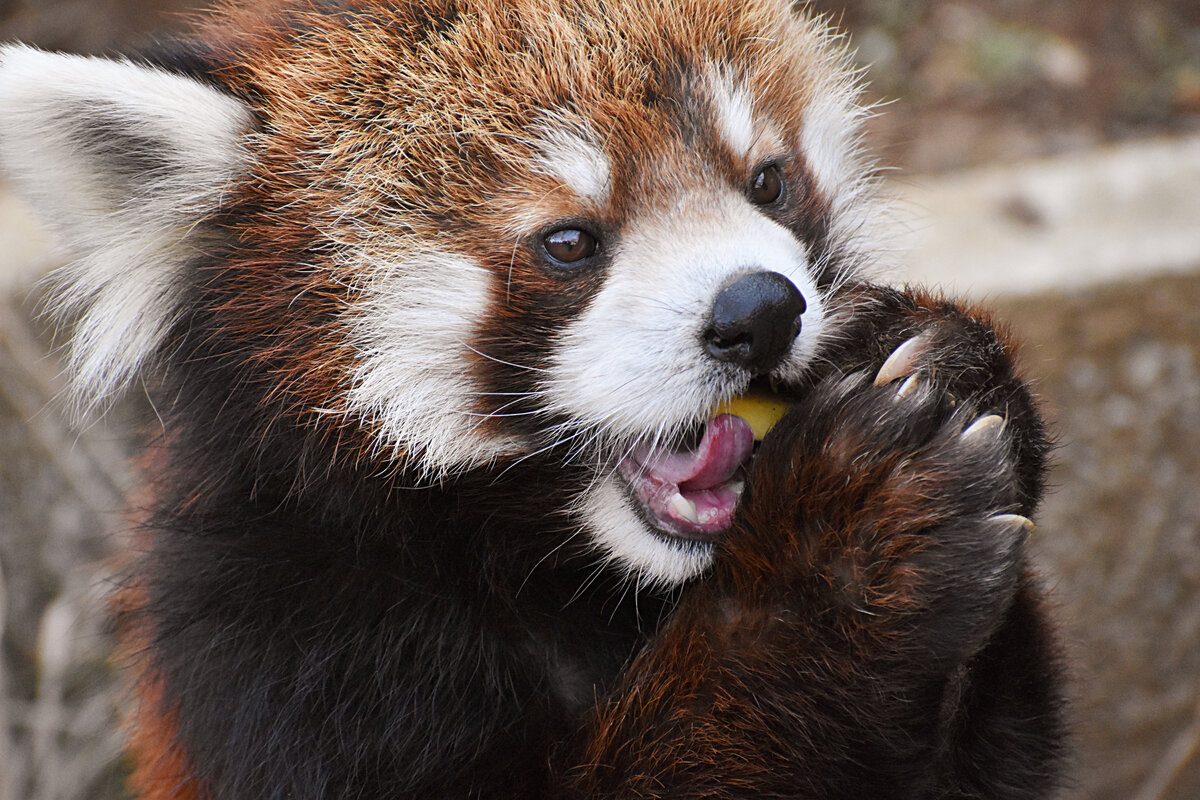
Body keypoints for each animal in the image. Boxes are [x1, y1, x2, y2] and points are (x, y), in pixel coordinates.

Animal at [0, 1, 1065, 800]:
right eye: (568, 242)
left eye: (767, 181)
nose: (761, 312)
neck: (562, 577)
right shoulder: (275, 631)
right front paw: (840, 547)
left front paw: (952, 361)